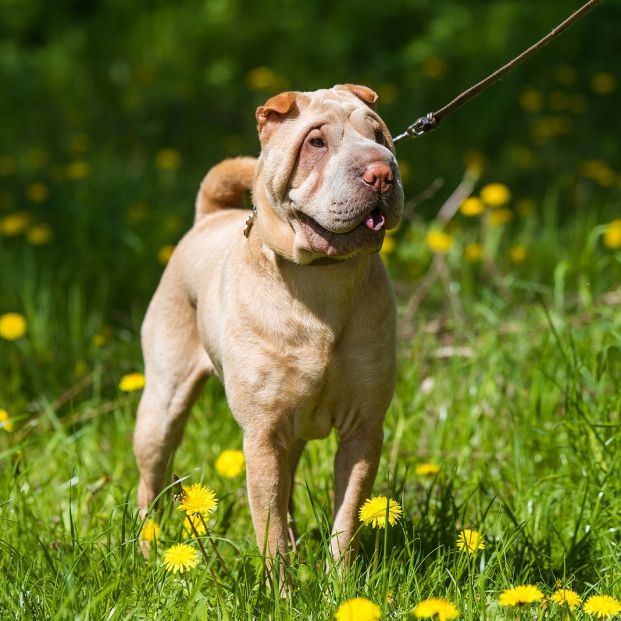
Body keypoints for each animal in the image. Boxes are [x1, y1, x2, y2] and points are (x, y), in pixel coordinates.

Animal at [134, 82, 404, 560]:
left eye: (379, 136)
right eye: (316, 143)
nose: (381, 173)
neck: (321, 280)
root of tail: (208, 218)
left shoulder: (363, 430)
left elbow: (346, 520)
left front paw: (340, 578)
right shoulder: (262, 436)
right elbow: (269, 528)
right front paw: (281, 580)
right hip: (161, 406)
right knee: (150, 482)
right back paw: (149, 554)